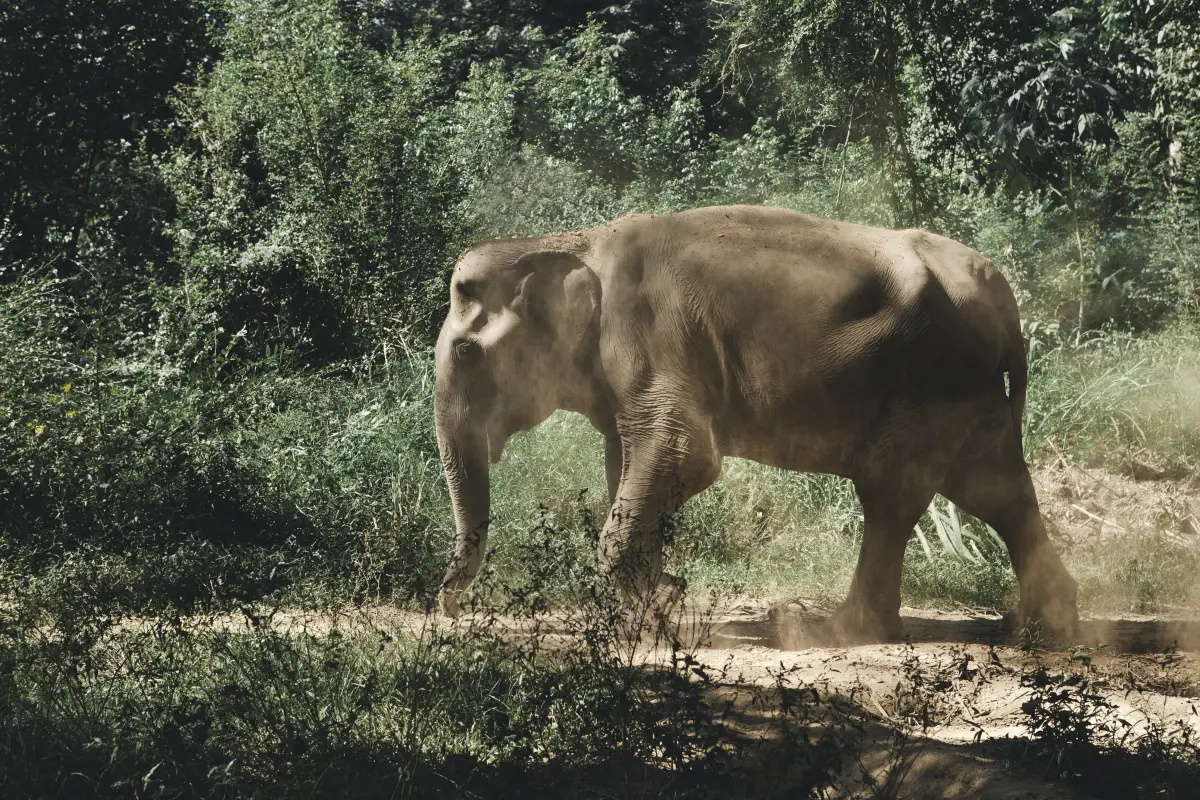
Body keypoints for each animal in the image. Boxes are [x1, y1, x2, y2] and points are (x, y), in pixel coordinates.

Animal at [433, 204, 1078, 643]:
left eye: (465, 352)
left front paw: (657, 612)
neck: (576, 243)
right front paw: (660, 597)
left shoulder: (652, 339)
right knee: (992, 487)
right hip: (965, 385)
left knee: (892, 490)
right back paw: (1040, 625)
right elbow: (631, 465)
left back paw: (834, 631)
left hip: (931, 375)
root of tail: (1001, 293)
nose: (451, 612)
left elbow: (686, 454)